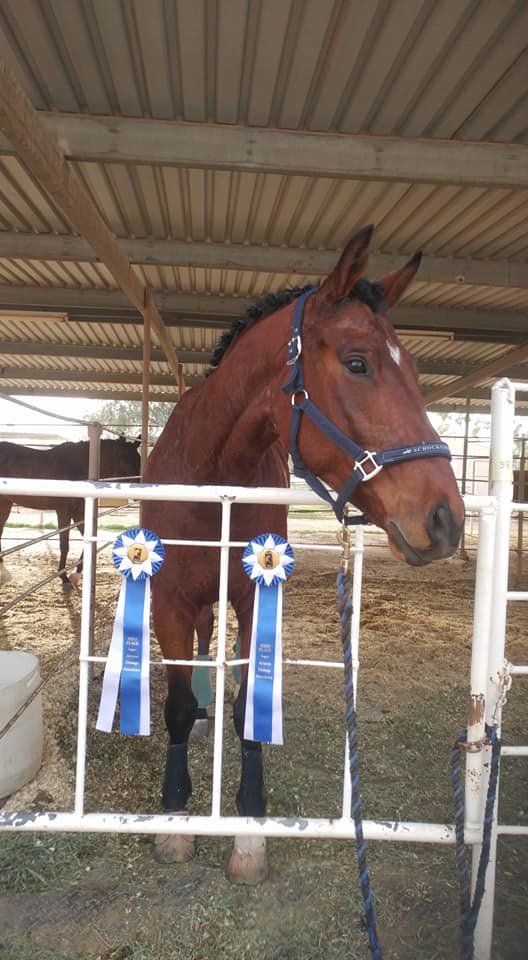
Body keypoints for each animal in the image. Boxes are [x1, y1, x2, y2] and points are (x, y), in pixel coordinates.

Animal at [0, 437, 140, 586]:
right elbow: (64, 544)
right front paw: (64, 578)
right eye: (125, 458)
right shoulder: (64, 511)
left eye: (137, 458)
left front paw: (76, 574)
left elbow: (89, 540)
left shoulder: (78, 512)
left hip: (5, 504)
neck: (76, 467)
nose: (139, 492)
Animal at [143, 225, 464, 885]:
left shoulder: (254, 598)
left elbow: (248, 711)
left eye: (416, 369)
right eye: (357, 362)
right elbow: (178, 708)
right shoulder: (170, 602)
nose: (446, 519)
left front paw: (248, 831)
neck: (211, 477)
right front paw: (175, 819)